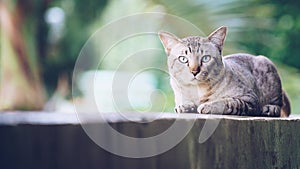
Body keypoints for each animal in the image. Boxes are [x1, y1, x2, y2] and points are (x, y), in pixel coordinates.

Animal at [159, 26, 290, 117]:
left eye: (205, 58)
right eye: (183, 59)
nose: (194, 71)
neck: (198, 91)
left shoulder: (250, 99)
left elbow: (228, 102)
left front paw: (208, 106)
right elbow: (184, 103)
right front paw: (184, 106)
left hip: (267, 67)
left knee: (278, 104)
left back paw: (270, 108)